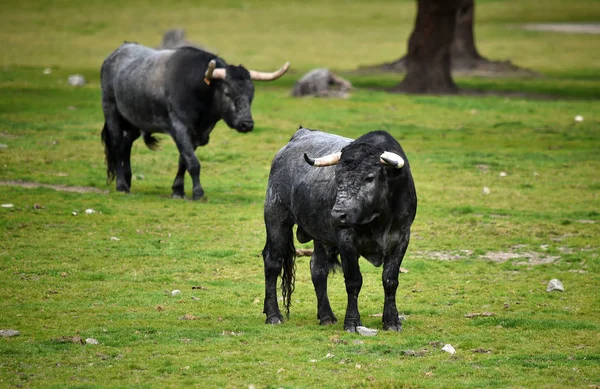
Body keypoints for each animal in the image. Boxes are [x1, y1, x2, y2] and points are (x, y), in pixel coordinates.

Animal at [100, 42, 290, 200]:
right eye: (228, 93)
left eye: (251, 95)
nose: (246, 124)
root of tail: (114, 55)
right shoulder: (179, 127)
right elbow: (192, 162)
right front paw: (198, 193)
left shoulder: (198, 134)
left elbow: (183, 160)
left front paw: (177, 190)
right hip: (111, 110)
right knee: (116, 144)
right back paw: (122, 185)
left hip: (135, 120)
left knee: (126, 143)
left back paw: (128, 179)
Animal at [262, 127, 418, 330]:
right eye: (337, 176)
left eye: (370, 177)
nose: (338, 215)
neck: (379, 219)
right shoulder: (347, 242)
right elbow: (353, 281)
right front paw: (352, 322)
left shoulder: (401, 238)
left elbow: (390, 280)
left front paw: (392, 321)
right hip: (276, 218)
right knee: (273, 262)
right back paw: (273, 314)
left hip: (320, 236)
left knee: (318, 269)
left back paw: (326, 316)